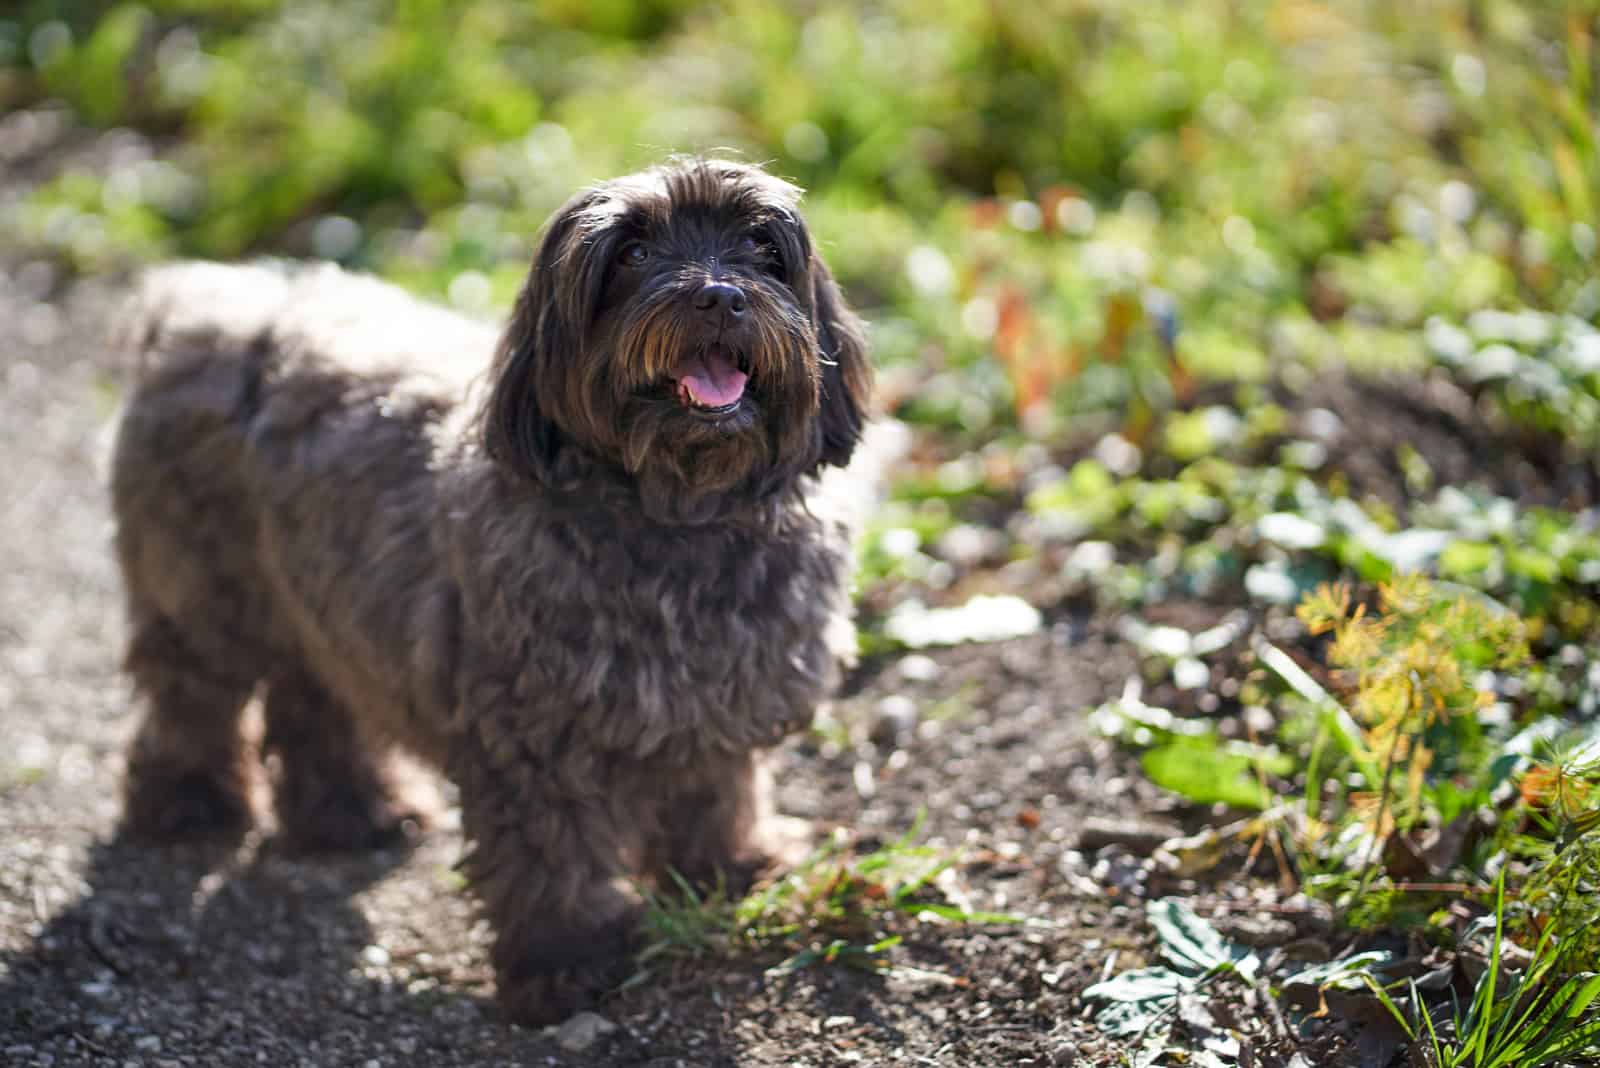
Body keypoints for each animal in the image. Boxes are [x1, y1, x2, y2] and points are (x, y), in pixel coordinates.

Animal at [109, 156, 876, 1016]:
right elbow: (551, 856)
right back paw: (189, 802)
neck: (680, 514)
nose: (718, 294)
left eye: (760, 248)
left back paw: (351, 812)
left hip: (323, 598)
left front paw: (728, 867)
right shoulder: (533, 736)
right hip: (206, 593)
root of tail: (209, 301)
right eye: (632, 255)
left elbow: (717, 789)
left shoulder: (724, 702)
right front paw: (563, 959)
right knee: (190, 694)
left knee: (313, 698)